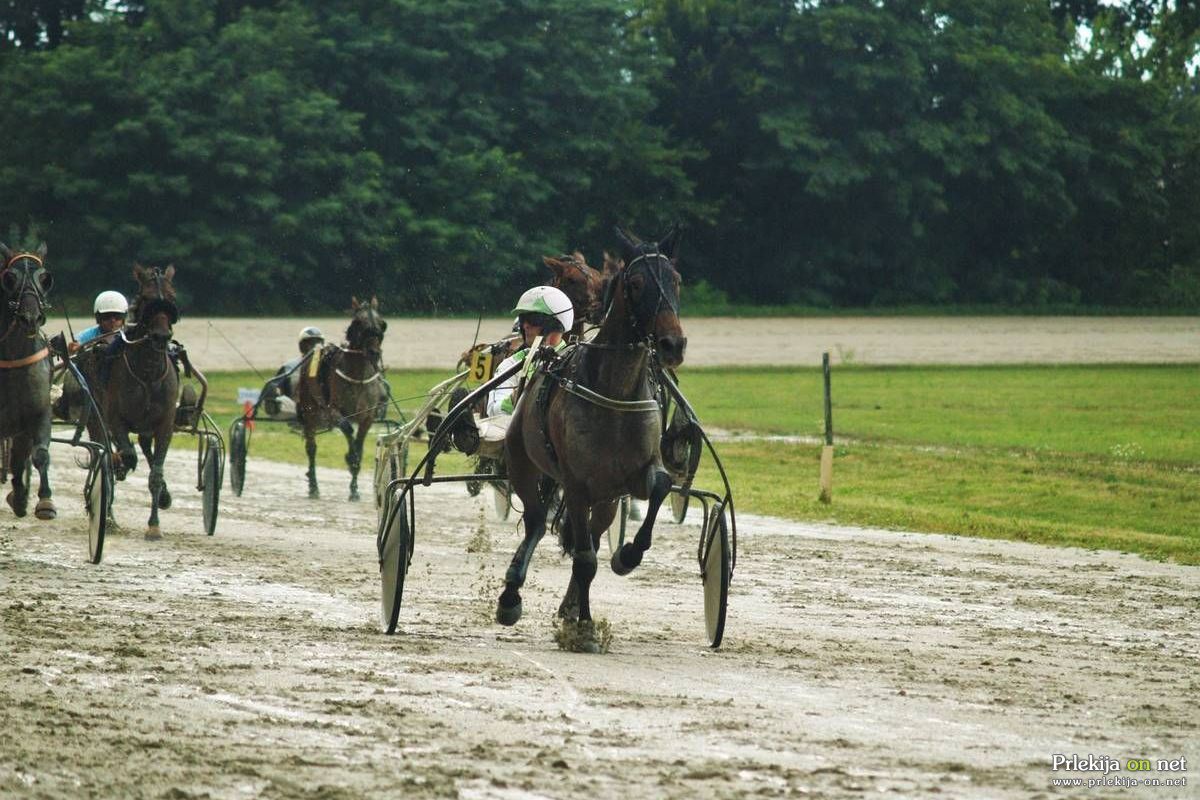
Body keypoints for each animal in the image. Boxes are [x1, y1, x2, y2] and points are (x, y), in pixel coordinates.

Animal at [100, 266, 181, 542]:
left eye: (171, 297)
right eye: (146, 298)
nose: (161, 336)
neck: (147, 373)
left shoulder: (165, 423)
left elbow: (156, 473)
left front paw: (154, 525)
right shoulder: (115, 419)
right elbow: (125, 453)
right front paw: (122, 463)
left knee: (147, 449)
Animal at [295, 297, 388, 501]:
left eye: (382, 323)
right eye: (358, 322)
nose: (373, 352)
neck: (358, 377)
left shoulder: (368, 416)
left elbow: (359, 446)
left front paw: (354, 489)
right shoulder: (333, 411)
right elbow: (347, 428)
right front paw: (349, 458)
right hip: (309, 411)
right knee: (311, 448)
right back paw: (313, 487)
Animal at [496, 225, 686, 652]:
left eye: (676, 280)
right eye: (636, 282)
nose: (672, 344)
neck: (615, 390)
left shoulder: (632, 476)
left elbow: (661, 486)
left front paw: (628, 555)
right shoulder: (577, 483)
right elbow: (583, 560)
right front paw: (584, 629)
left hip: (606, 499)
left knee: (591, 536)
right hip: (523, 462)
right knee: (536, 521)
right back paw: (511, 595)